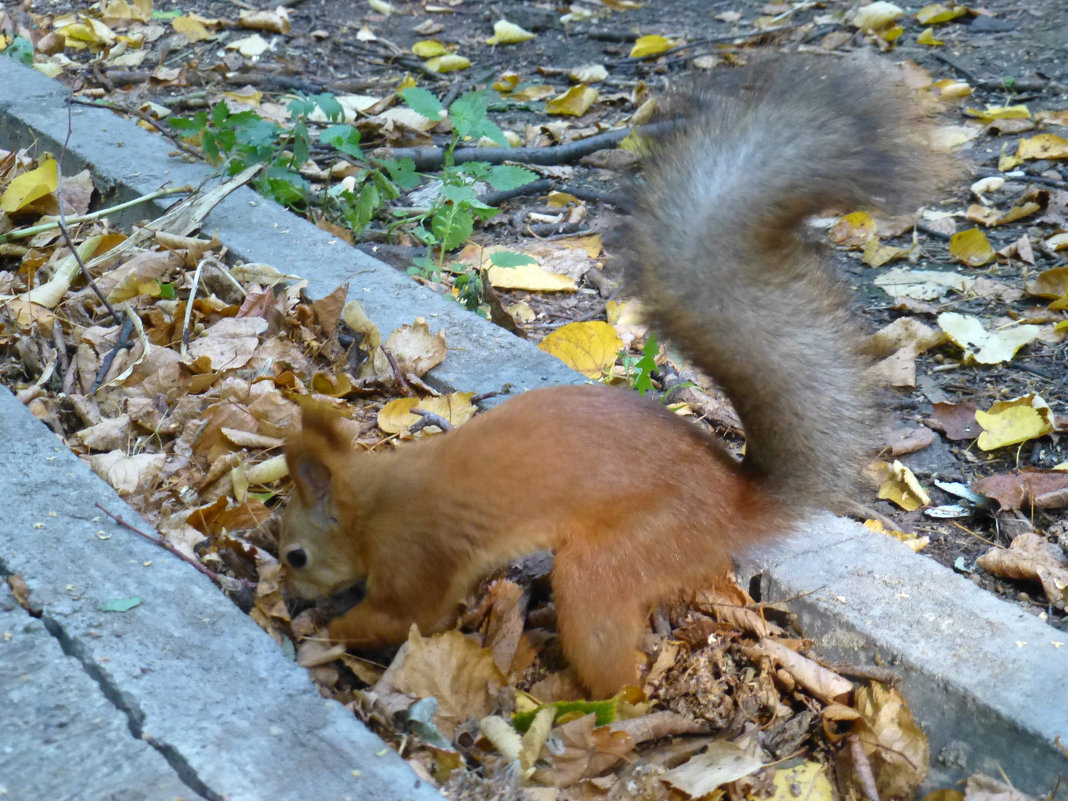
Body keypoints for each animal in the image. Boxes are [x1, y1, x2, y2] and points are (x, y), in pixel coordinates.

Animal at [281, 56, 952, 700]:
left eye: (296, 554)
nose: (288, 595)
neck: (374, 501)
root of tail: (732, 504)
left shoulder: (414, 556)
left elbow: (401, 617)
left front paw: (320, 633)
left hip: (615, 560)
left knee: (617, 663)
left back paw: (592, 707)